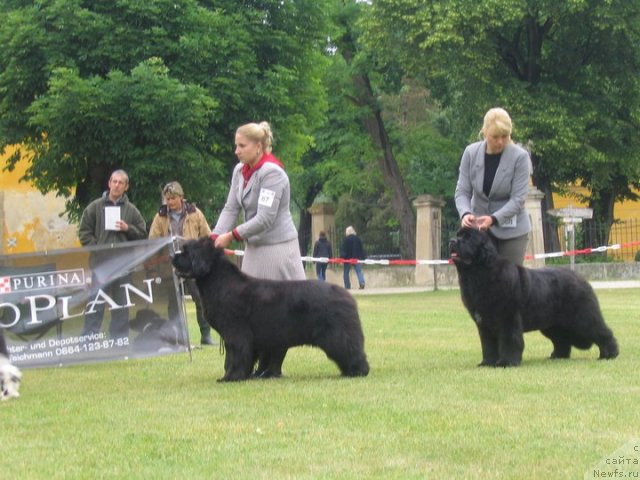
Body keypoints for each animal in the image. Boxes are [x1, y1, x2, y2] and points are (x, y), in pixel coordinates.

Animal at [171, 237, 370, 382]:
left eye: (186, 252)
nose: (173, 257)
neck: (219, 281)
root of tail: (347, 296)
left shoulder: (235, 333)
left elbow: (235, 355)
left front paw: (230, 377)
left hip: (337, 335)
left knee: (350, 349)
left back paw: (358, 371)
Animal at [450, 229, 620, 368]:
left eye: (468, 238)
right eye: (458, 235)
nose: (452, 241)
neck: (479, 274)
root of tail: (580, 278)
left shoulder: (507, 318)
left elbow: (509, 340)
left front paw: (506, 362)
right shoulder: (484, 323)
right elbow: (488, 344)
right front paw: (487, 363)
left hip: (583, 316)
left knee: (602, 331)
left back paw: (609, 354)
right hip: (552, 324)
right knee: (562, 339)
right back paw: (557, 356)